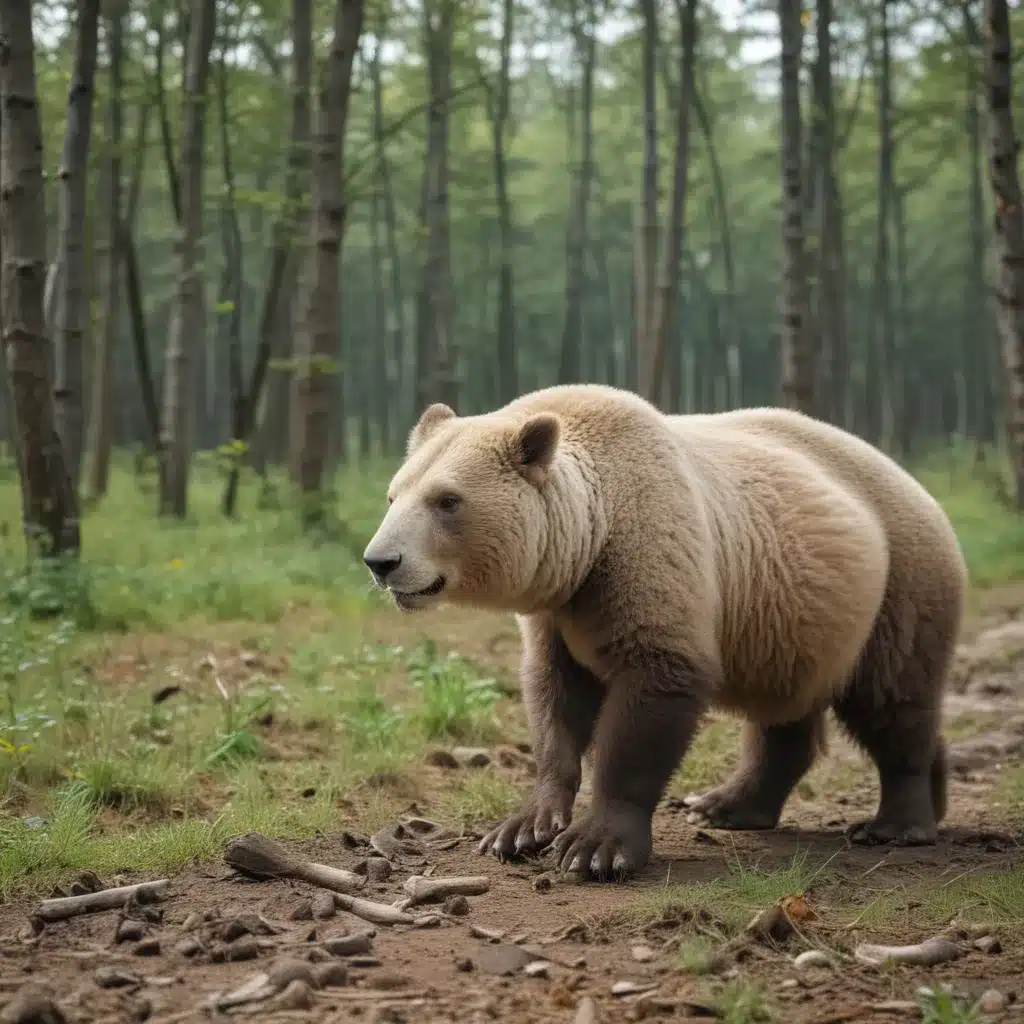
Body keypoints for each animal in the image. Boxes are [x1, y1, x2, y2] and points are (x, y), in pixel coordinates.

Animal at [362, 385, 966, 880]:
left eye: (447, 500)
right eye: (393, 495)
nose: (381, 562)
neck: (588, 540)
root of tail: (919, 487)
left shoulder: (649, 552)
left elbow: (652, 690)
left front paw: (595, 847)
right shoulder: (559, 610)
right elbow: (554, 698)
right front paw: (521, 828)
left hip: (894, 580)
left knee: (891, 696)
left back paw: (896, 822)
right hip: (792, 615)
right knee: (786, 714)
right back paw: (728, 804)